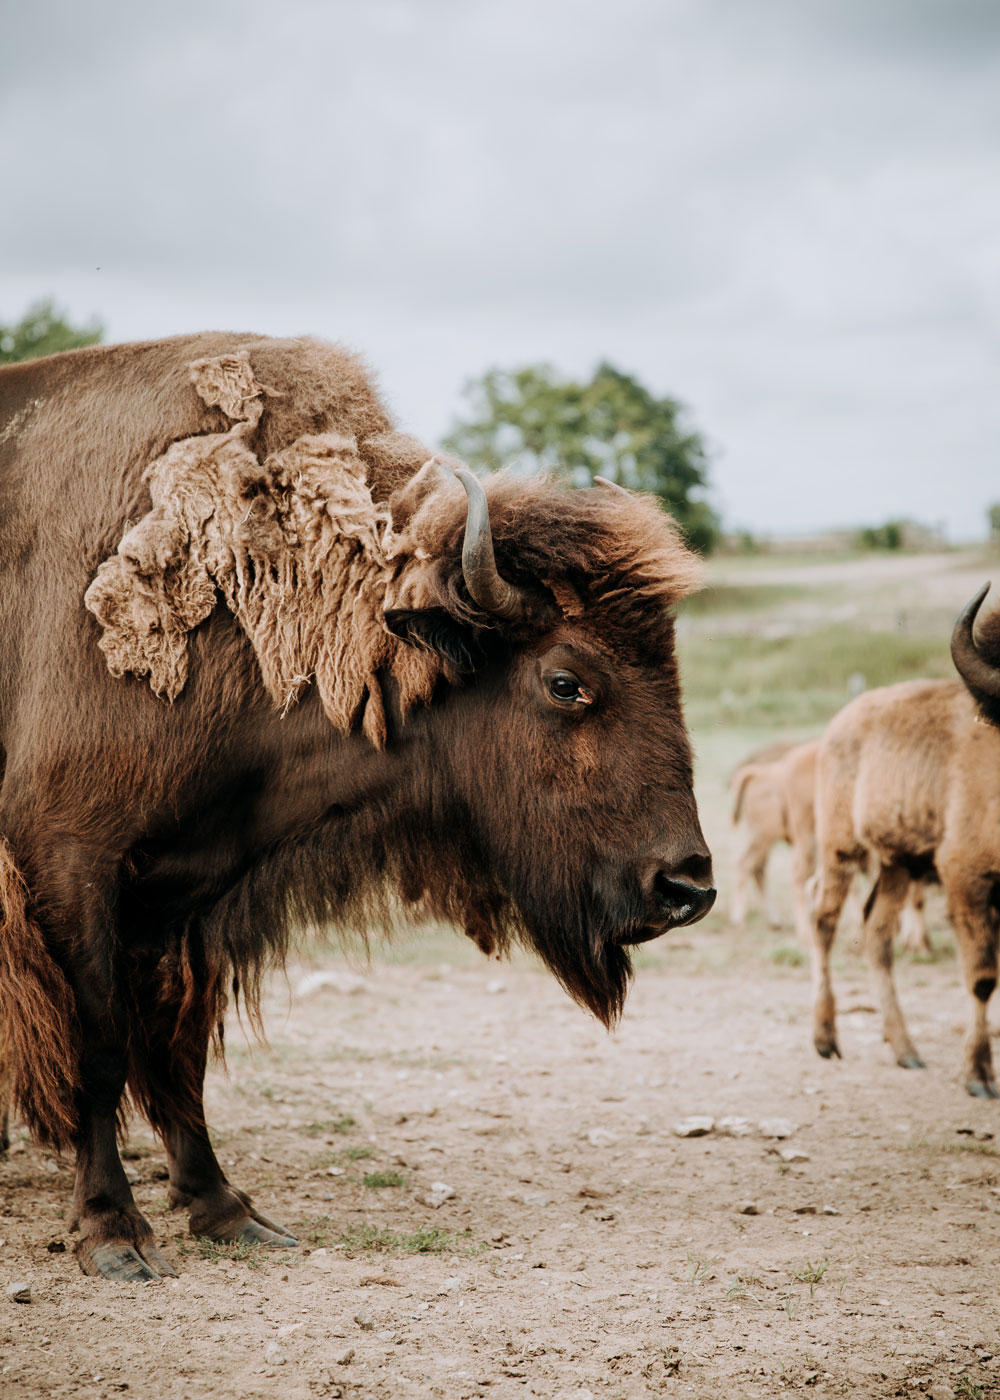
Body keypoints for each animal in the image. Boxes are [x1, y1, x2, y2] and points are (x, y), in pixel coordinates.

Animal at [0, 336, 717, 1282]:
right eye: (567, 681)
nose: (688, 886)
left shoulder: (185, 890)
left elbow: (176, 1044)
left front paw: (226, 1210)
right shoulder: (71, 864)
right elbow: (102, 1041)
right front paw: (113, 1233)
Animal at [812, 674, 997, 1092]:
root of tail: (840, 722)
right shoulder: (966, 875)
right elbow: (982, 977)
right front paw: (978, 1075)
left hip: (896, 862)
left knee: (878, 932)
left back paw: (905, 1049)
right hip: (840, 847)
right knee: (823, 920)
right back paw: (825, 1038)